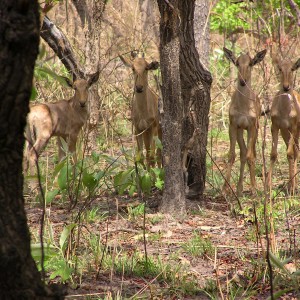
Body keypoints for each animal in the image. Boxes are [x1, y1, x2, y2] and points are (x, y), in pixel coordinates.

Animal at [220, 47, 268, 197]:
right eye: (237, 62)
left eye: (251, 63)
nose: (242, 81)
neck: (243, 107)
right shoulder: (233, 125)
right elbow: (232, 155)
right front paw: (225, 189)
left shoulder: (252, 126)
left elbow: (250, 157)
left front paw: (253, 189)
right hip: (241, 130)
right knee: (242, 153)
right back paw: (240, 188)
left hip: (254, 129)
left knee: (250, 153)